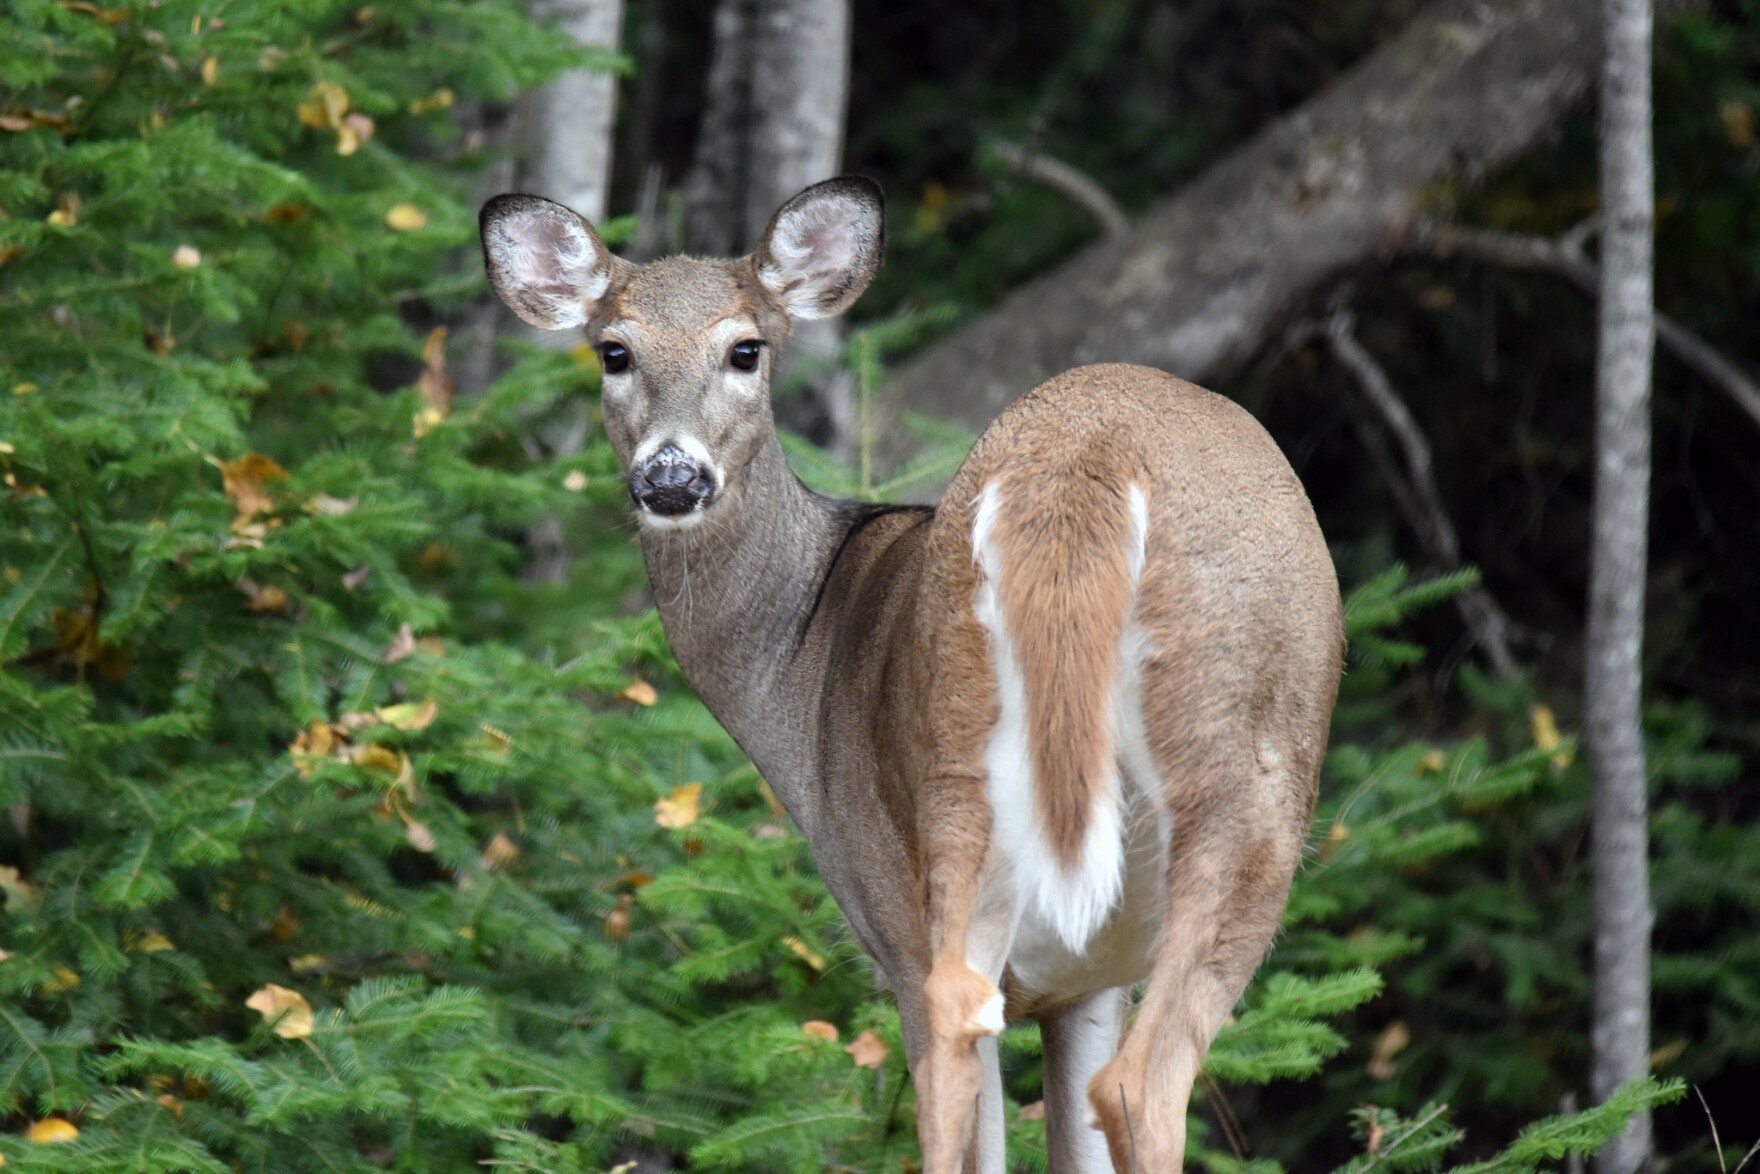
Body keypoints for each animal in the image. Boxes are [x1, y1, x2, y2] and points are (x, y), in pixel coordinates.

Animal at [479, 175, 1344, 1173]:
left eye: (746, 349)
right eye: (614, 351)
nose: (671, 477)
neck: (801, 660)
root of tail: (1085, 468)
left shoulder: (977, 942)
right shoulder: (1059, 966)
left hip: (998, 770)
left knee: (999, 1038)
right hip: (1161, 776)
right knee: (1109, 1073)